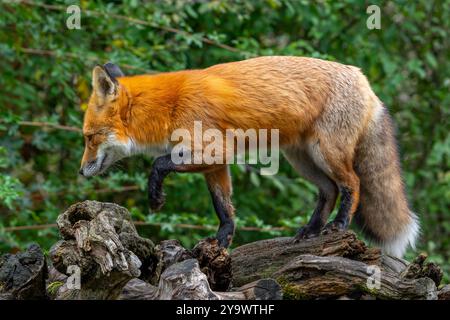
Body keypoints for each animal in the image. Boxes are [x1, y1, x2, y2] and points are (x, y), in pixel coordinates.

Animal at [79, 55, 420, 258]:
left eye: (89, 137)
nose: (82, 172)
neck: (171, 106)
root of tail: (362, 78)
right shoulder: (216, 163)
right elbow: (223, 207)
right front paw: (221, 241)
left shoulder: (215, 149)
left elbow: (159, 163)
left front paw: (154, 195)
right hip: (303, 159)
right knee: (329, 190)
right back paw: (310, 231)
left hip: (326, 153)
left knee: (353, 183)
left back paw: (338, 224)